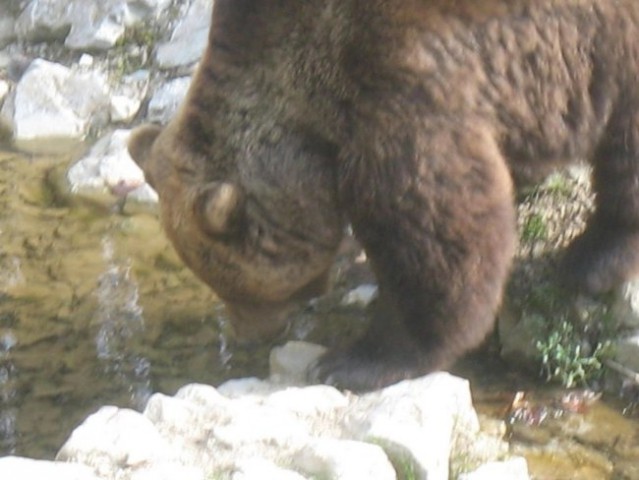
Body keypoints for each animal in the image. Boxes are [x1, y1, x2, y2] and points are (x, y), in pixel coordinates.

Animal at [127, 0, 639, 390]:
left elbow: (435, 232)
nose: (247, 335)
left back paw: (591, 259)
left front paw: (354, 361)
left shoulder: (399, 82)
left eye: (235, 286)